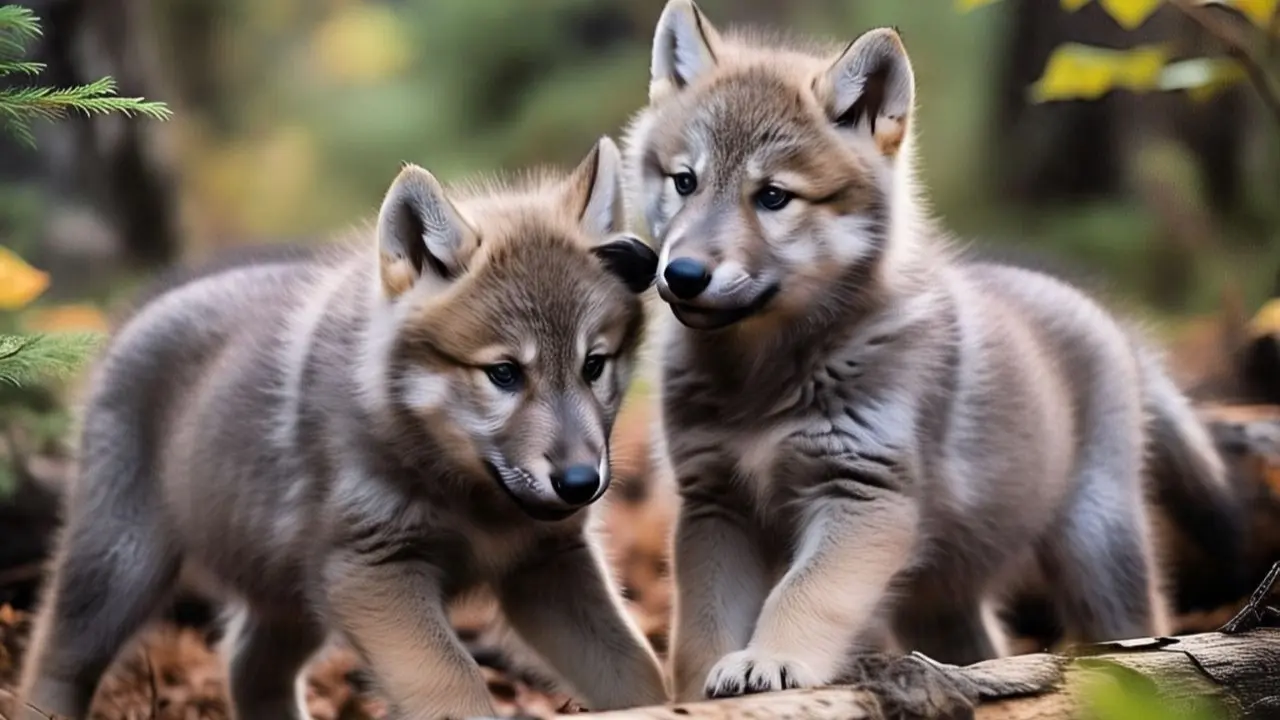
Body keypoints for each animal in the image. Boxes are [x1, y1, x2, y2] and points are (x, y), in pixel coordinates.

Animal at [16, 136, 670, 720]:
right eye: (504, 373)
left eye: (594, 365)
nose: (582, 483)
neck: (471, 503)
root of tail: (144, 309)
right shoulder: (373, 571)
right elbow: (453, 686)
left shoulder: (547, 567)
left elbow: (637, 671)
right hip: (119, 569)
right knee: (54, 661)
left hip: (289, 596)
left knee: (247, 668)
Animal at [620, 0, 1244, 701]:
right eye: (685, 182)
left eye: (774, 196)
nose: (682, 274)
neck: (763, 381)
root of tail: (1105, 316)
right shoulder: (715, 504)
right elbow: (701, 628)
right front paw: (693, 693)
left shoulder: (863, 494)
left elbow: (803, 594)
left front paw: (770, 660)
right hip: (939, 598)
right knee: (983, 649)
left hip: (1097, 545)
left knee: (1137, 627)